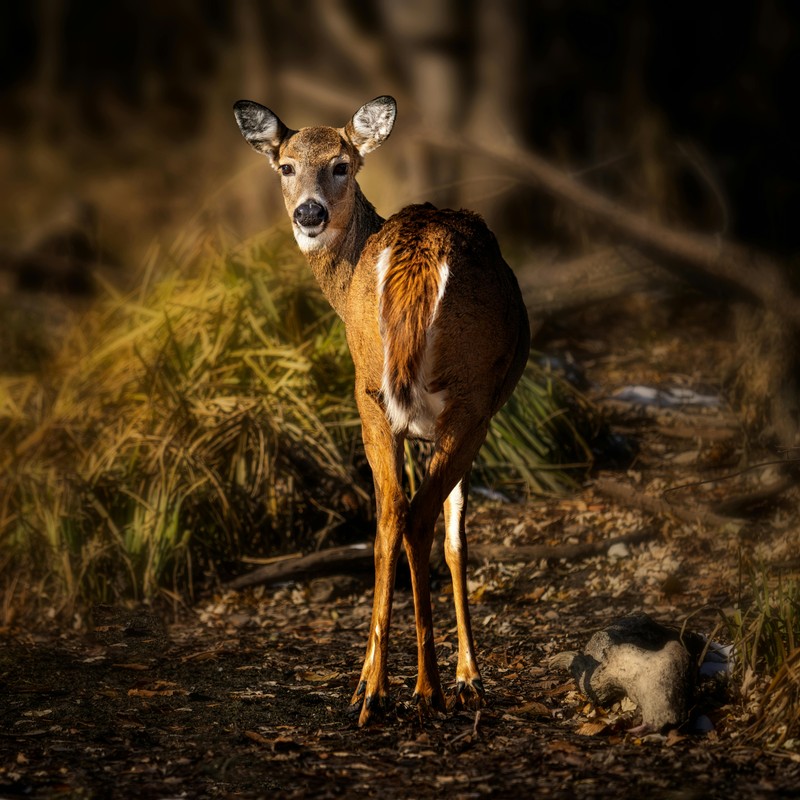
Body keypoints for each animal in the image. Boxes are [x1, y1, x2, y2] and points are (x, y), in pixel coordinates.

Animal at [233, 94, 532, 724]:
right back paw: (428, 689)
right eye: (285, 167)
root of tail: (416, 250)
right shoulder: (464, 417)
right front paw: (469, 678)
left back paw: (373, 689)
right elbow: (456, 539)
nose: (310, 213)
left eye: (341, 165)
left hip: (373, 387)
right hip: (466, 398)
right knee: (417, 517)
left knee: (390, 517)